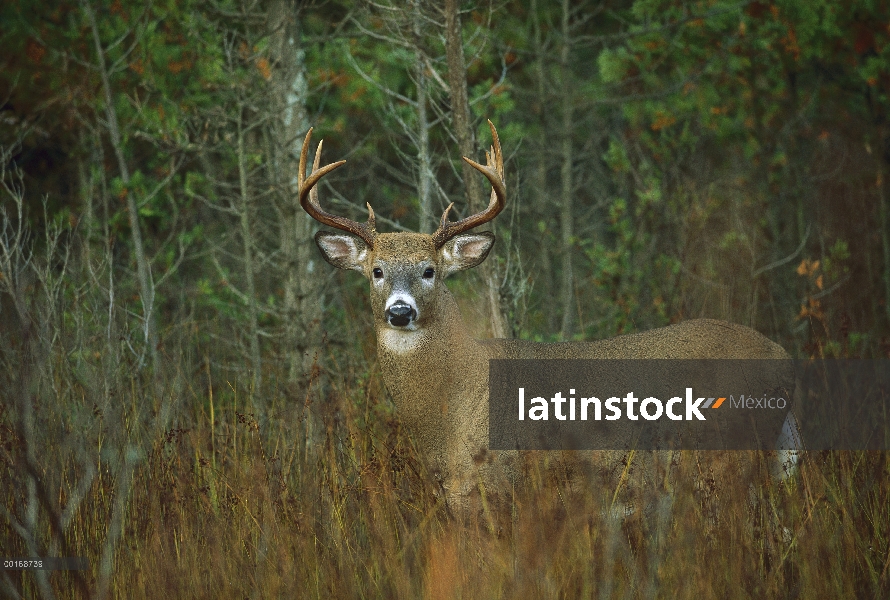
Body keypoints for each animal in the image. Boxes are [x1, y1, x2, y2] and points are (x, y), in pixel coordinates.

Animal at [296, 124, 796, 512]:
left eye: (429, 271)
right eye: (376, 271)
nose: (400, 311)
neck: (453, 412)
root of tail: (784, 358)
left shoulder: (504, 485)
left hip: (725, 457)